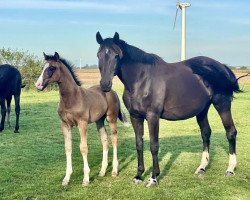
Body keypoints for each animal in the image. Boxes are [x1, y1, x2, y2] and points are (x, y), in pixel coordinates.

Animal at [35, 52, 127, 187]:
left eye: (51, 68)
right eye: (43, 67)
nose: (38, 85)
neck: (71, 98)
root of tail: (112, 91)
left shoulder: (82, 124)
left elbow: (83, 148)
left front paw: (86, 179)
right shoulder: (65, 124)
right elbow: (68, 148)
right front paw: (66, 178)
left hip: (111, 118)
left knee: (114, 139)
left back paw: (114, 170)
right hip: (99, 121)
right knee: (105, 140)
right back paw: (102, 171)